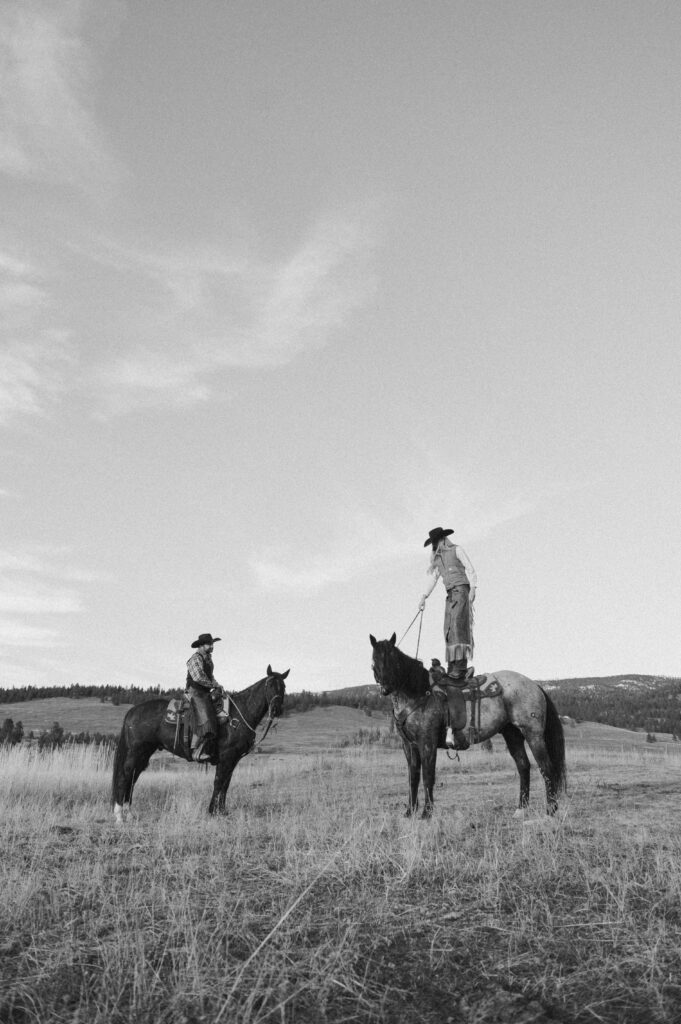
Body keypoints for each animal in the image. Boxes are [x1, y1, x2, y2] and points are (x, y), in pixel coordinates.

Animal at [111, 663, 286, 823]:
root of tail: (132, 711)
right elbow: (219, 782)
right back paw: (119, 816)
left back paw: (129, 814)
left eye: (283, 687)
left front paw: (222, 811)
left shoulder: (233, 759)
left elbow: (225, 784)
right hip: (135, 751)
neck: (238, 715)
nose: (276, 710)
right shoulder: (227, 757)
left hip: (145, 752)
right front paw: (212, 812)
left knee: (133, 777)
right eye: (270, 685)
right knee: (125, 776)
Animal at [368, 634, 565, 819]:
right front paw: (409, 812)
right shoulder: (409, 745)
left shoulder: (427, 743)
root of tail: (535, 685)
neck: (418, 693)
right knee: (523, 766)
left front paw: (426, 814)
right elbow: (413, 777)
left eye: (393, 659)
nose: (385, 689)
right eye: (374, 661)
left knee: (547, 768)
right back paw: (521, 810)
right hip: (512, 735)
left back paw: (550, 811)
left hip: (533, 734)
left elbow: (428, 777)